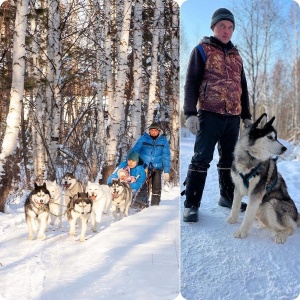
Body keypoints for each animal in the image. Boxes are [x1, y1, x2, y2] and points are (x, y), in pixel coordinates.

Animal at [227, 113, 300, 243]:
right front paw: (233, 219)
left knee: (291, 227)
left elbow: (247, 215)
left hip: (270, 204)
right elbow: (235, 206)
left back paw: (281, 235)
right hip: (261, 209)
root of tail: (297, 215)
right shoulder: (238, 187)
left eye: (276, 137)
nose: (284, 148)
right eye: (270, 137)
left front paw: (241, 232)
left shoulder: (256, 193)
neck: (250, 158)